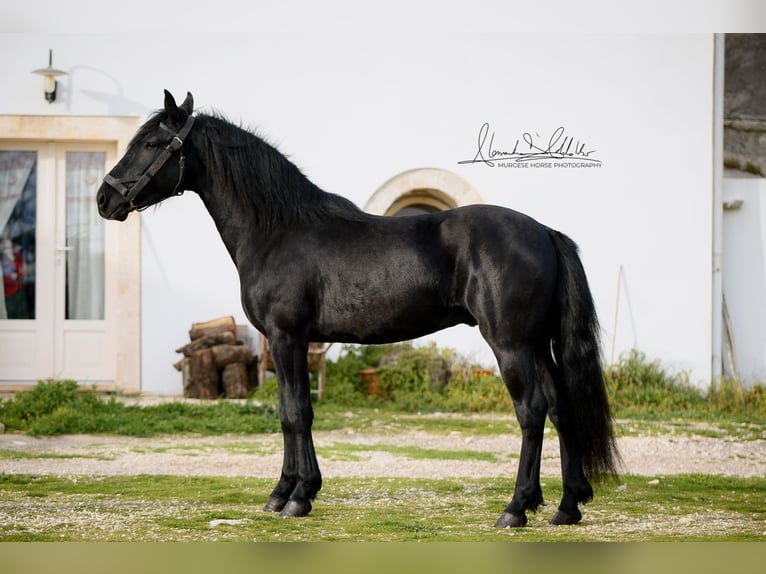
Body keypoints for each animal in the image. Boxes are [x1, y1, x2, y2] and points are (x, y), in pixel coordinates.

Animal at [97, 90, 619, 528]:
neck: (278, 230)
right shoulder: (289, 343)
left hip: (509, 343)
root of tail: (544, 232)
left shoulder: (288, 337)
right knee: (561, 408)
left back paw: (516, 508)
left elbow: (296, 413)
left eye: (152, 143)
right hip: (537, 343)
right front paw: (284, 493)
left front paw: (298, 497)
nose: (105, 199)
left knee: (532, 411)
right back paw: (567, 506)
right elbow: (288, 410)